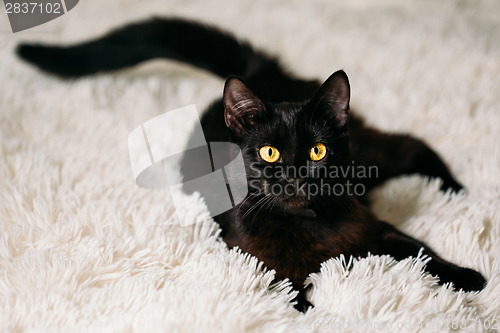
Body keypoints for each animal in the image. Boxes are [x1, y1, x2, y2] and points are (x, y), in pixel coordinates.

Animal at [16, 17, 488, 308]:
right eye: (269, 152)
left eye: (317, 151)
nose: (295, 177)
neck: (306, 226)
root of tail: (262, 74)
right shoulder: (255, 260)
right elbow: (291, 294)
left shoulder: (373, 228)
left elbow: (420, 251)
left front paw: (468, 277)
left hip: (367, 162)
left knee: (414, 146)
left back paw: (457, 189)